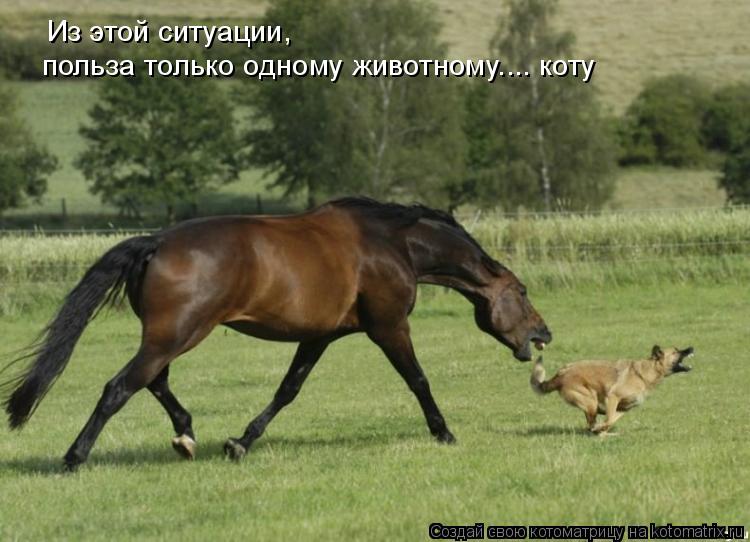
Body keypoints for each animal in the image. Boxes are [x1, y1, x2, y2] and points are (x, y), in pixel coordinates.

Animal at [0, 199, 552, 472]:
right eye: (523, 291)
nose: (543, 333)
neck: (391, 242)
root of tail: (155, 242)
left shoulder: (320, 336)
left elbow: (288, 390)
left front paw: (239, 444)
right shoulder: (389, 326)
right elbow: (418, 380)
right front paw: (444, 432)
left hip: (170, 335)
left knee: (153, 382)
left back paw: (187, 437)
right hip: (176, 334)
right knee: (120, 387)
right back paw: (74, 458)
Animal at [532, 346, 696, 436]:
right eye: (676, 351)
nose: (692, 348)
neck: (644, 374)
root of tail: (561, 374)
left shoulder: (624, 408)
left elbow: (611, 420)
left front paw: (602, 429)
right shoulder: (612, 397)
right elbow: (608, 420)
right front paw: (600, 429)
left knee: (591, 424)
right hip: (590, 400)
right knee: (590, 424)